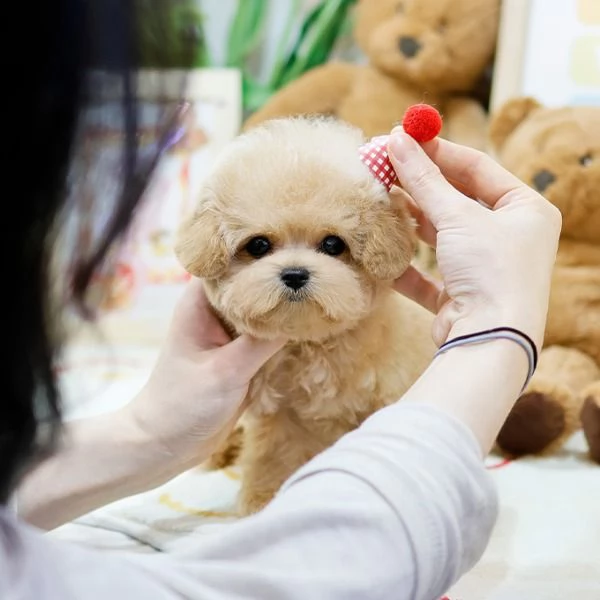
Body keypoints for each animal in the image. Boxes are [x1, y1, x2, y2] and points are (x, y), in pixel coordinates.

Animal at [176, 117, 434, 516]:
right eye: (258, 245)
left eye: (333, 244)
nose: (295, 274)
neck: (311, 343)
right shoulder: (278, 412)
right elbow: (273, 454)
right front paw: (263, 499)